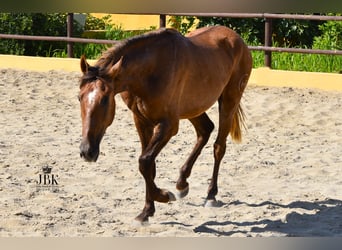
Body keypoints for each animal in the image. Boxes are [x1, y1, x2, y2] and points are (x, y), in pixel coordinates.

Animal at [79, 26, 252, 224]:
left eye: (105, 100)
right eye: (79, 98)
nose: (87, 152)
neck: (150, 72)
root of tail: (237, 39)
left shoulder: (168, 125)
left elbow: (144, 162)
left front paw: (163, 196)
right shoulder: (141, 121)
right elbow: (149, 167)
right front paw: (147, 211)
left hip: (229, 102)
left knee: (218, 147)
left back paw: (210, 195)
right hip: (192, 108)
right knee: (205, 130)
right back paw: (182, 183)